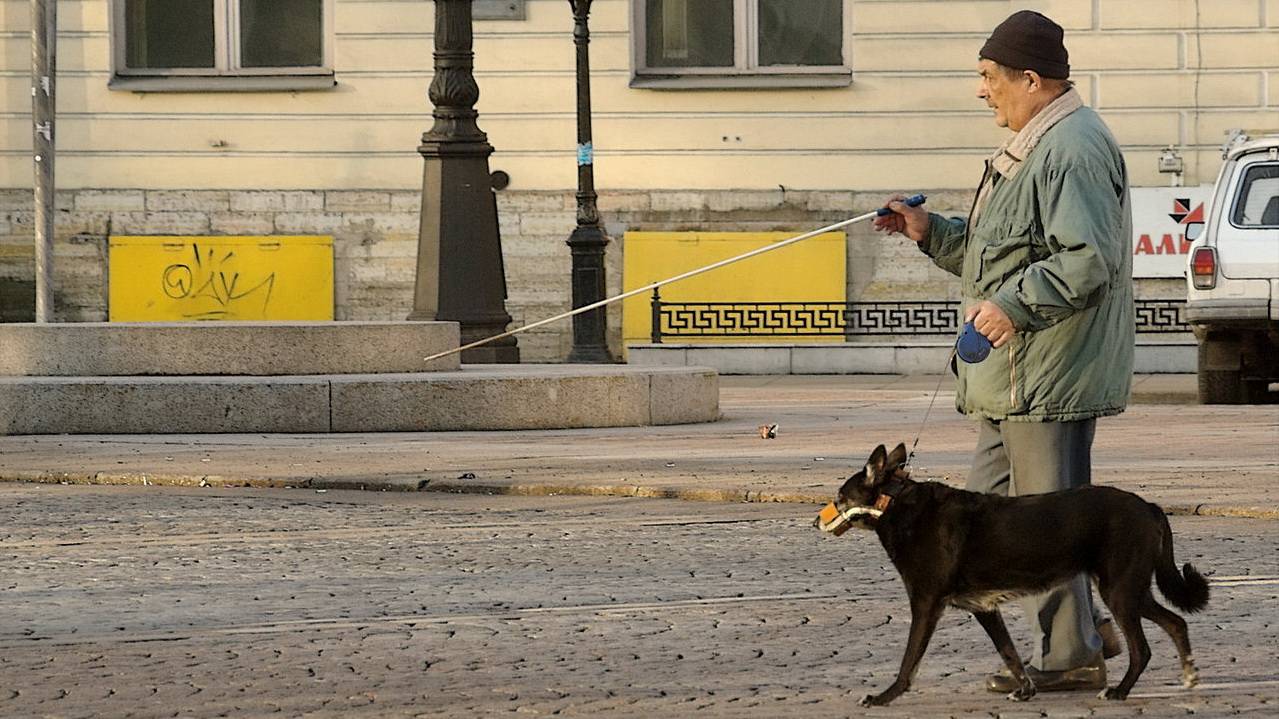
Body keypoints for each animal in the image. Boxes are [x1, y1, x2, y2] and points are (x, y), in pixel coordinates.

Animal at [818, 440, 1207, 701]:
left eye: (839, 497)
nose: (814, 522)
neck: (895, 505)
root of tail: (1149, 506)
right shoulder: (984, 608)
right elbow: (1011, 655)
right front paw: (1025, 689)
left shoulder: (926, 606)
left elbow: (908, 660)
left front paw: (886, 695)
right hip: (1130, 589)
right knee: (1176, 622)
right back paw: (1188, 673)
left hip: (1120, 590)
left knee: (1142, 649)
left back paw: (1120, 691)